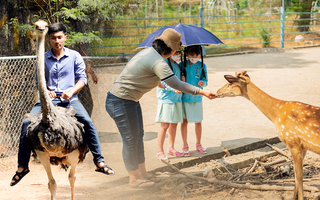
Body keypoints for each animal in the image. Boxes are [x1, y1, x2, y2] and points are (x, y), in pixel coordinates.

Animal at [216, 70, 320, 200]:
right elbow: (296, 176)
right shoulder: (302, 146)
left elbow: (299, 176)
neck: (276, 115)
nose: (217, 91)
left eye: (230, 84)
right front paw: (292, 197)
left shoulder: (292, 141)